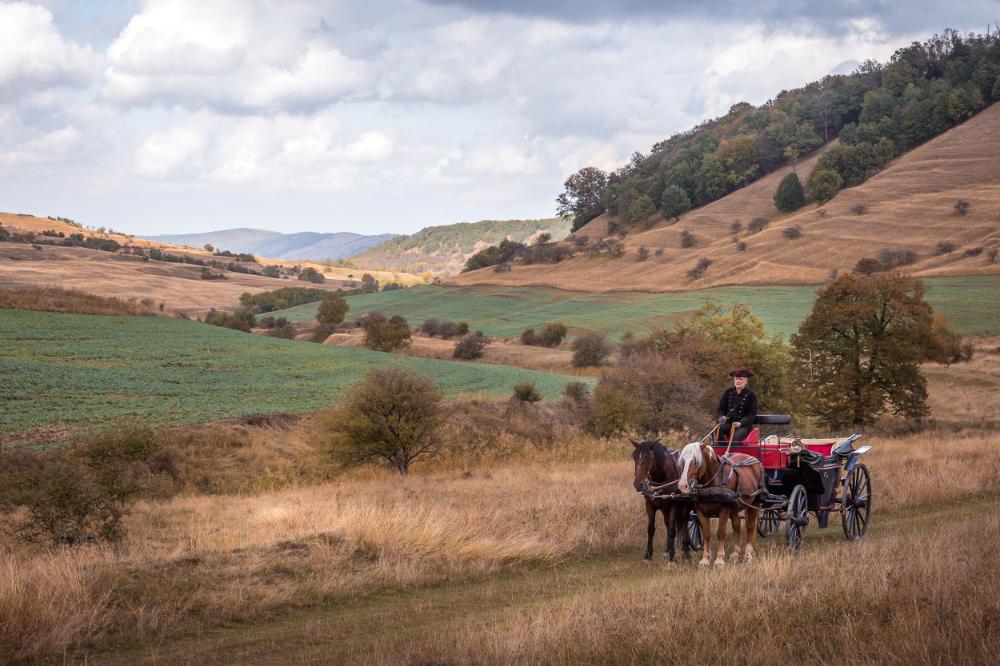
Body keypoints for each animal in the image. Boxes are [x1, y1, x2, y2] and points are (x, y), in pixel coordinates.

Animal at [628, 436, 692, 564]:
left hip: (685, 505)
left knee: (684, 522)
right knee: (669, 523)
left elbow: (672, 530)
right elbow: (651, 529)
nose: (638, 484)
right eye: (634, 457)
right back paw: (667, 550)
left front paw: (672, 558)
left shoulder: (674, 505)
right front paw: (648, 556)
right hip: (663, 507)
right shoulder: (649, 504)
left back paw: (685, 550)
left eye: (650, 458)